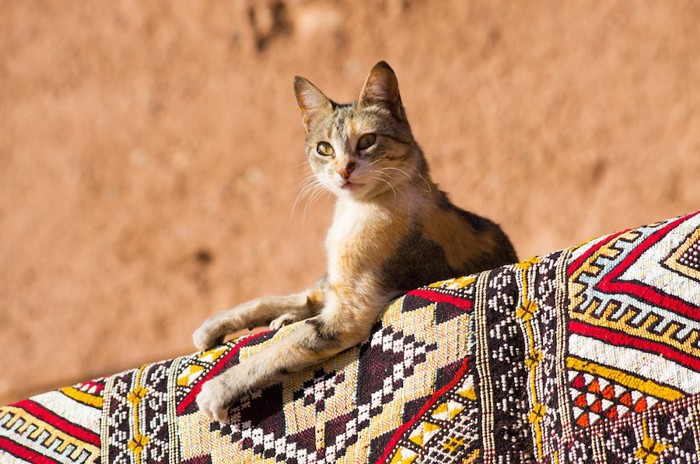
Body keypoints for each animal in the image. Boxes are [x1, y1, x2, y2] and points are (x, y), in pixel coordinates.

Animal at [194, 60, 516, 420]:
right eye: (324, 149)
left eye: (367, 141)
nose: (344, 170)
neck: (351, 213)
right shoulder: (331, 284)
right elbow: (271, 300)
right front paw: (214, 327)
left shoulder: (349, 313)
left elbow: (278, 350)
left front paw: (218, 389)